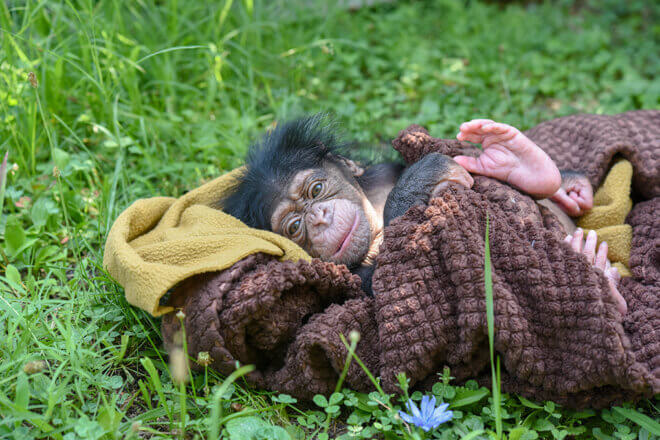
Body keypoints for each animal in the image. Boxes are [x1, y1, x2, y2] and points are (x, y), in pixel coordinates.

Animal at [222, 115, 624, 312]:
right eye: (294, 226)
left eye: (316, 190)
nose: (318, 217)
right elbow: (387, 282)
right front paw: (420, 181)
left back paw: (521, 161)